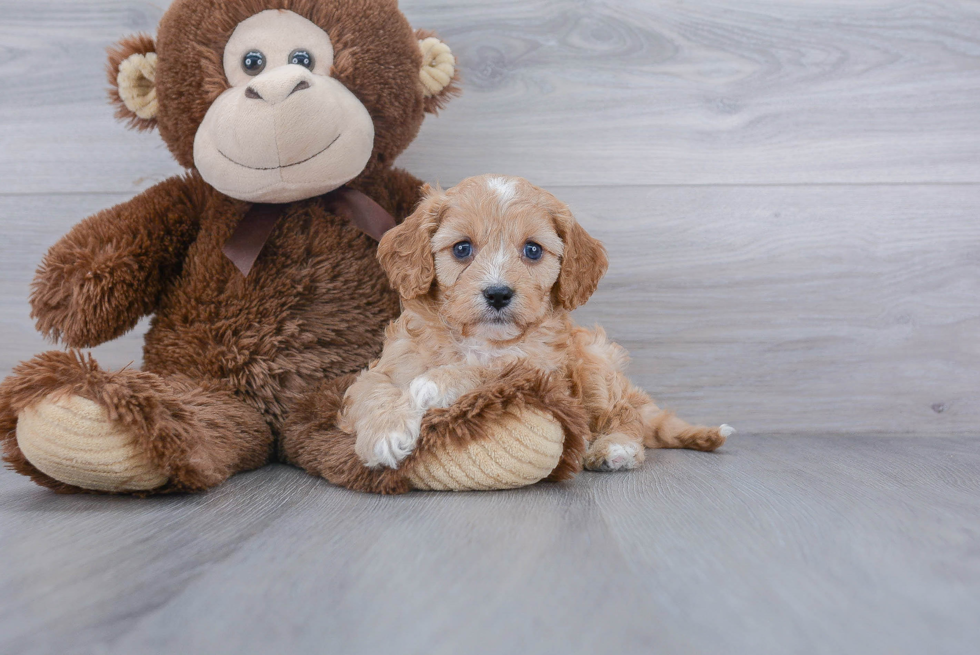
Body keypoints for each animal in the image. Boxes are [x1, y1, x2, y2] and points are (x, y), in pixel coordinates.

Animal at [340, 174, 732, 472]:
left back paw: (615, 448)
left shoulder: (543, 371)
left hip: (595, 362)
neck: (480, 338)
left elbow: (490, 366)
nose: (498, 294)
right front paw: (384, 434)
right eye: (462, 249)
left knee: (624, 414)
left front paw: (434, 384)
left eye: (532, 250)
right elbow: (373, 390)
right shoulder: (390, 364)